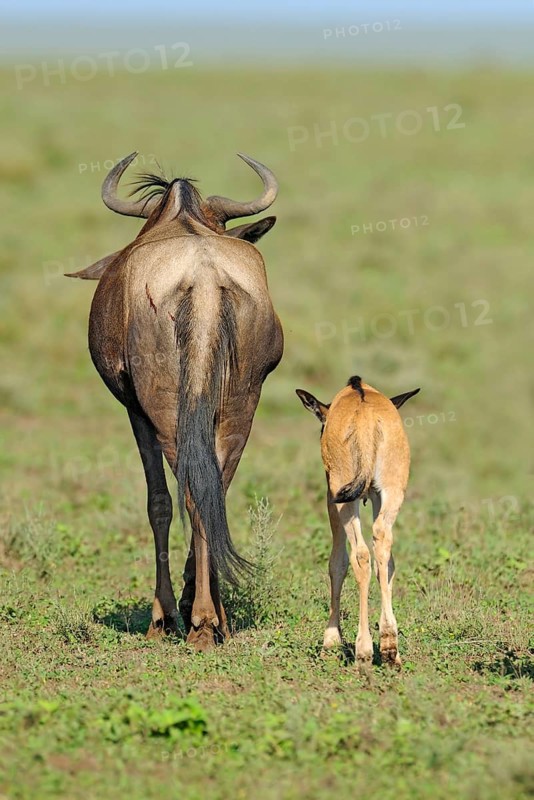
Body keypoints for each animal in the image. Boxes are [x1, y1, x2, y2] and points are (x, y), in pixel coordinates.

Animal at [67, 152, 283, 651]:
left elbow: (158, 502)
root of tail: (203, 280)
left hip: (166, 411)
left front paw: (164, 616)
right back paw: (214, 618)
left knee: (186, 493)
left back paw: (198, 622)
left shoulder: (136, 411)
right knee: (213, 488)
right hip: (241, 407)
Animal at [296, 376, 419, 666]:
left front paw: (330, 642)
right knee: (383, 543)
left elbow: (337, 563)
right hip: (392, 491)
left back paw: (363, 650)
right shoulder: (374, 496)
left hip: (344, 500)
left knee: (361, 555)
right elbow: (387, 564)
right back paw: (389, 646)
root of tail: (366, 416)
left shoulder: (332, 499)